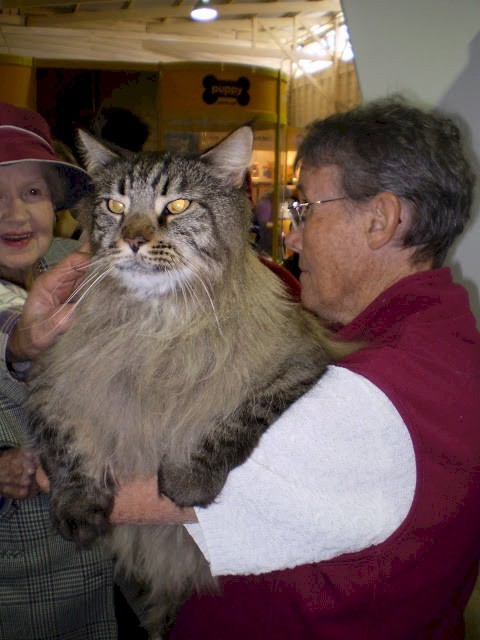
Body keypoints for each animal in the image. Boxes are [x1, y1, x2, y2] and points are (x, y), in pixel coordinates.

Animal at [29, 127, 352, 636]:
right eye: (115, 206)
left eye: (177, 205)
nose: (134, 240)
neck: (159, 325)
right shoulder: (50, 375)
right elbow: (65, 443)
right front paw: (78, 505)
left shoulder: (300, 361)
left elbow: (231, 421)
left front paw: (188, 480)